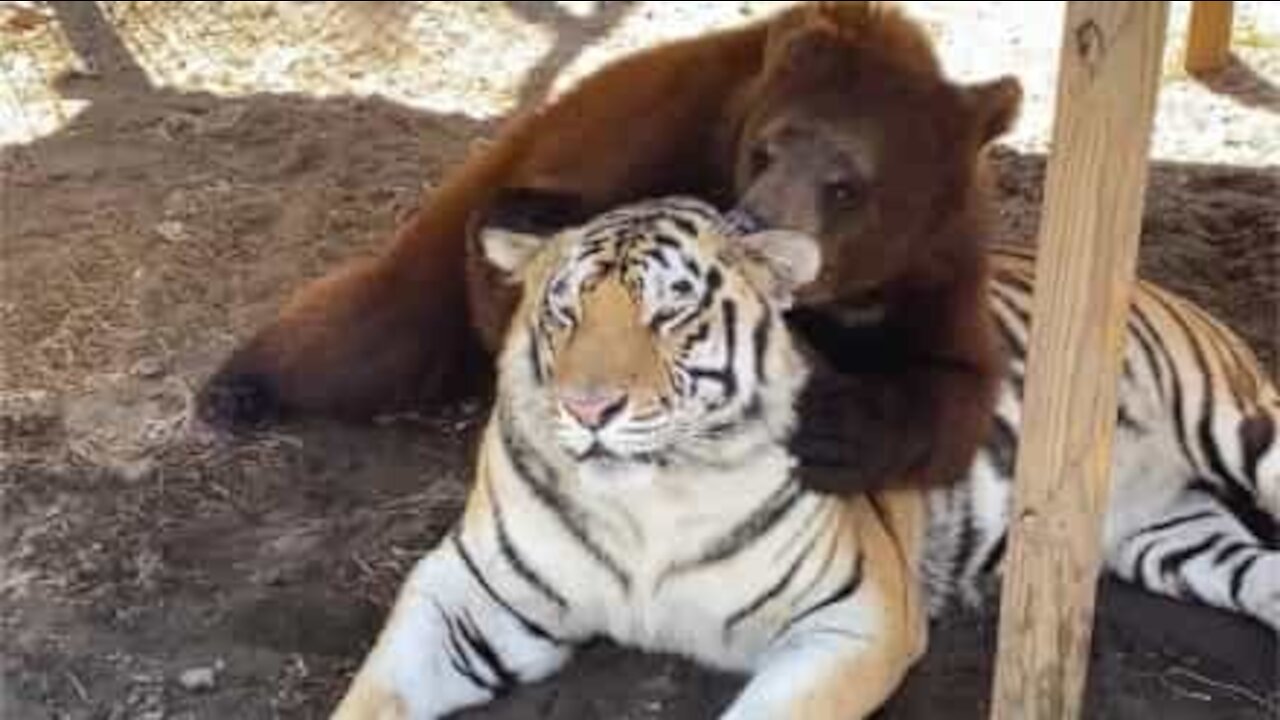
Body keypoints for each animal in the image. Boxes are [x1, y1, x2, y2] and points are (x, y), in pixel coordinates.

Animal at [199, 0, 1018, 491]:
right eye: (765, 150)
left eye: (846, 184)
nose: (753, 225)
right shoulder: (661, 133)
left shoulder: (939, 265)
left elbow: (954, 386)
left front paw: (839, 428)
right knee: (366, 334)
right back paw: (239, 386)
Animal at [332, 196, 1280, 717]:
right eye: (563, 312)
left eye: (668, 313)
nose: (587, 408)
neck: (646, 504)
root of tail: (1149, 283)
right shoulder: (466, 593)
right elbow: (373, 693)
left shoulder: (855, 619)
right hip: (1169, 541)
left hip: (1247, 428)